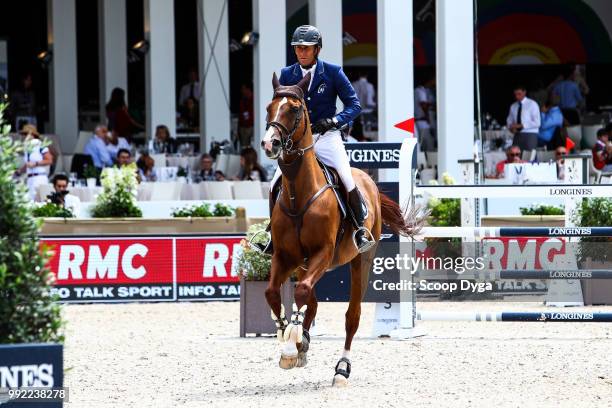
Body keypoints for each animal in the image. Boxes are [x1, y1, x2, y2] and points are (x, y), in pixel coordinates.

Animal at [258, 71, 420, 388]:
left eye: (294, 109)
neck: (299, 193)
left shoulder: (323, 252)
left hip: (361, 261)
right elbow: (274, 293)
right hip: (304, 264)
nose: (270, 144)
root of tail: (368, 181)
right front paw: (287, 336)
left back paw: (341, 369)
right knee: (311, 300)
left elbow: (303, 293)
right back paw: (303, 341)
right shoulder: (285, 257)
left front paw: (291, 344)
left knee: (351, 316)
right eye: (269, 107)